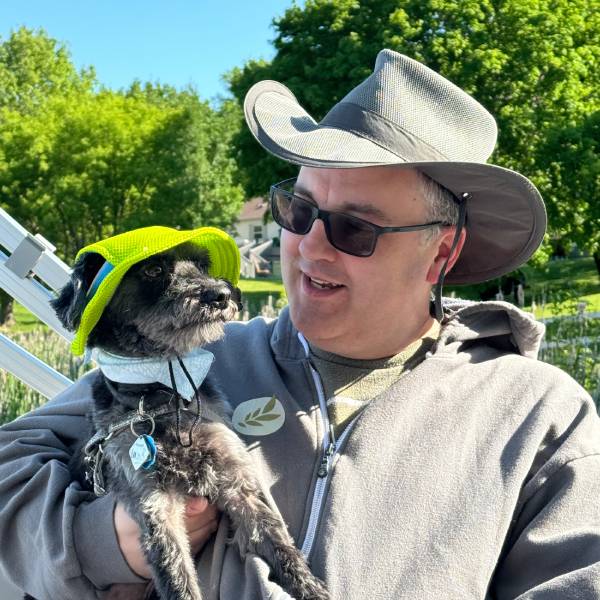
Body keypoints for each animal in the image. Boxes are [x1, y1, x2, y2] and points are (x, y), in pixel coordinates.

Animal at [31, 240, 330, 600]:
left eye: (201, 265)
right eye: (153, 269)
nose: (222, 294)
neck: (159, 399)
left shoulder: (235, 479)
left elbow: (278, 542)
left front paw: (313, 589)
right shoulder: (155, 506)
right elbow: (177, 576)